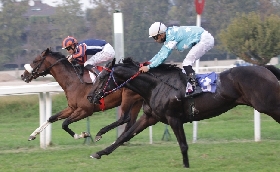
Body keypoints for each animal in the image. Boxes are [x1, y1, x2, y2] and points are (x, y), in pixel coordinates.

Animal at [87, 57, 280, 168]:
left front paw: (186, 166)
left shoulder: (174, 118)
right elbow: (124, 136)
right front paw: (99, 153)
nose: (90, 96)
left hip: (267, 104)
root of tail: (264, 68)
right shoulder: (150, 117)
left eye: (102, 78)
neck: (156, 86)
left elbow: (183, 145)